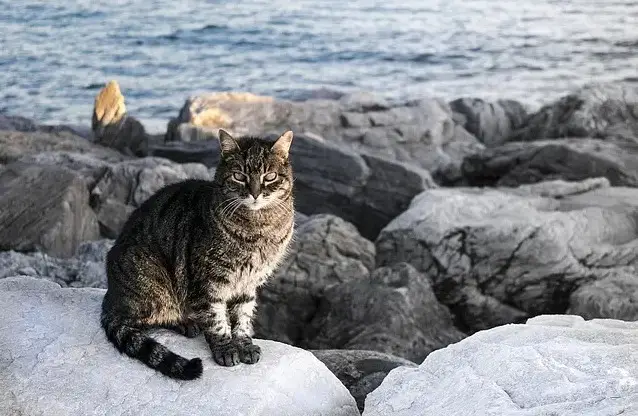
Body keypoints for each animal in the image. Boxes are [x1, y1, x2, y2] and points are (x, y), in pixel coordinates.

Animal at [100, 130, 298, 380]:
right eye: (239, 176)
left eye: (270, 176)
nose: (255, 193)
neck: (258, 227)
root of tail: (111, 297)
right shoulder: (209, 281)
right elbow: (217, 320)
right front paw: (226, 349)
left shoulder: (248, 283)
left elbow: (243, 316)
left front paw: (243, 344)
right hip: (154, 284)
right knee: (138, 321)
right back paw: (184, 322)